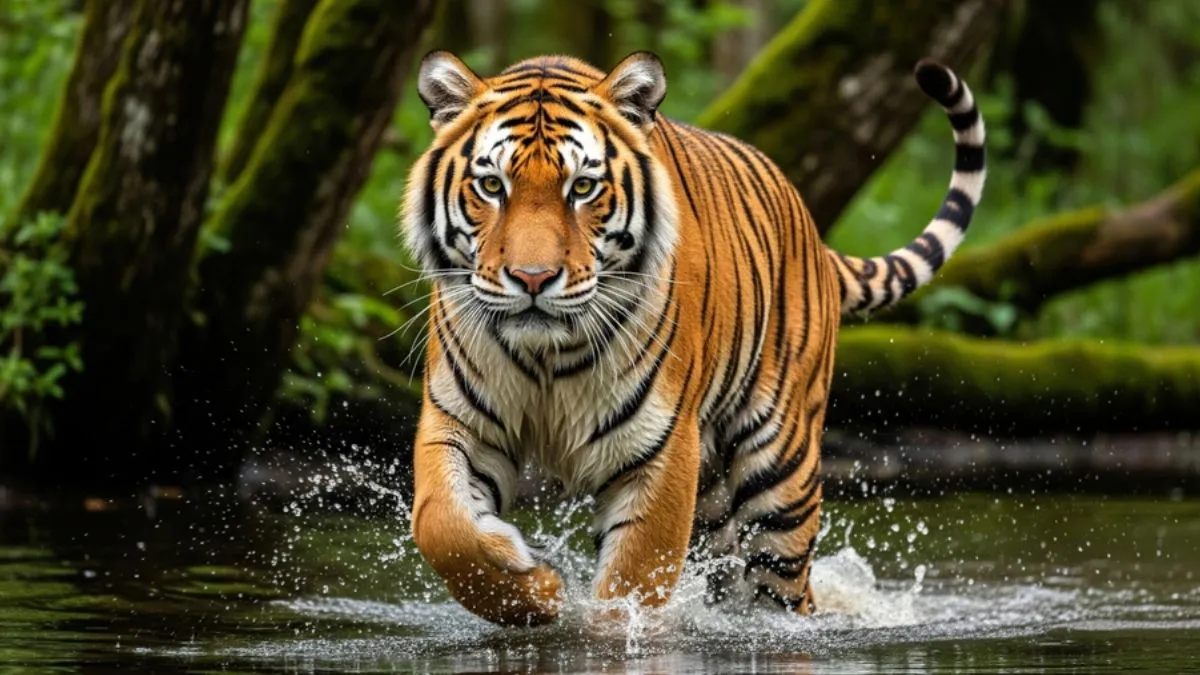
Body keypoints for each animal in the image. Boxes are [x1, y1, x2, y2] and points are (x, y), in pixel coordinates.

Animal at [400, 48, 985, 627]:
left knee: (788, 591)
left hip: (781, 479)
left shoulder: (658, 450)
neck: (546, 355)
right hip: (712, 497)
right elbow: (442, 527)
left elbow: (630, 586)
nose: (533, 279)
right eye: (492, 186)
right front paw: (534, 588)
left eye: (583, 188)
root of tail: (816, 238)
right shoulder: (457, 421)